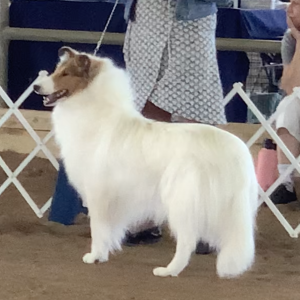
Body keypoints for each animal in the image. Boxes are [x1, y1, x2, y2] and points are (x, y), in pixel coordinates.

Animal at [34, 47, 258, 278]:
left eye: (65, 74)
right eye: (56, 70)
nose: (35, 86)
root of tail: (237, 152)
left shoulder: (98, 192)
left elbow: (98, 228)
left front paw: (94, 256)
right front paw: (103, 256)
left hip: (182, 200)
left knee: (187, 241)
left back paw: (168, 270)